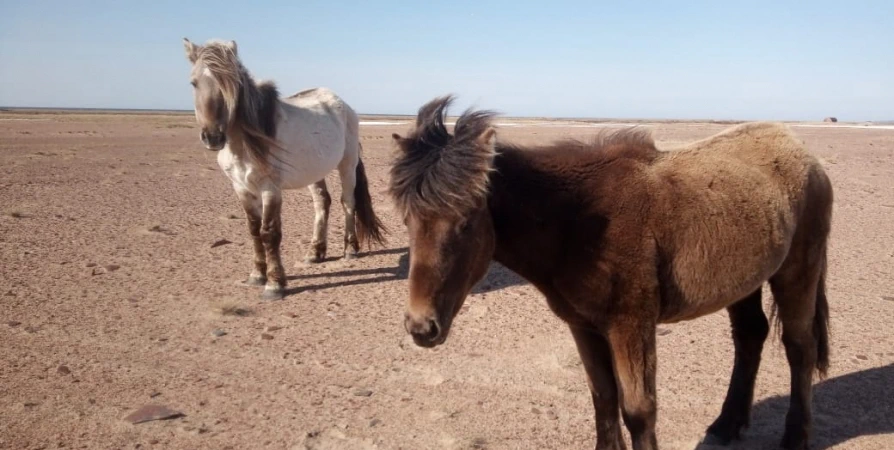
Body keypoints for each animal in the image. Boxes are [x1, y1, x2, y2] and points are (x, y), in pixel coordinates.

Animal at [184, 37, 386, 298]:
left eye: (232, 84)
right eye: (194, 82)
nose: (213, 137)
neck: (244, 142)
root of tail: (343, 105)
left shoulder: (270, 189)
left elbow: (269, 232)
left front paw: (274, 283)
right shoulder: (241, 188)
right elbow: (253, 230)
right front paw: (256, 275)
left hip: (347, 164)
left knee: (347, 202)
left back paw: (350, 249)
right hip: (314, 171)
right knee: (322, 202)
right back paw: (315, 252)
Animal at [388, 96, 836, 450]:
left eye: (465, 221)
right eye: (408, 221)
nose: (421, 327)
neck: (577, 223)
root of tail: (803, 153)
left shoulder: (630, 325)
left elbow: (638, 410)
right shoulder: (584, 325)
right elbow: (602, 397)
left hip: (797, 272)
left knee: (799, 347)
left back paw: (796, 437)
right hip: (743, 282)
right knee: (750, 336)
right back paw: (727, 424)